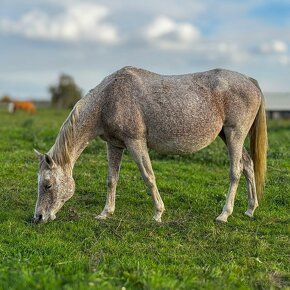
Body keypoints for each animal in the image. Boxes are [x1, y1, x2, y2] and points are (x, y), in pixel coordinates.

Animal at [32, 66, 268, 224]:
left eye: (48, 185)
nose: (38, 217)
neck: (109, 98)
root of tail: (250, 80)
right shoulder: (114, 145)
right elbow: (111, 179)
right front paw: (105, 213)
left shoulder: (135, 142)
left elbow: (148, 176)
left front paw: (158, 213)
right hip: (227, 136)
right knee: (248, 165)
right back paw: (250, 209)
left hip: (235, 134)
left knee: (235, 171)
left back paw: (224, 214)